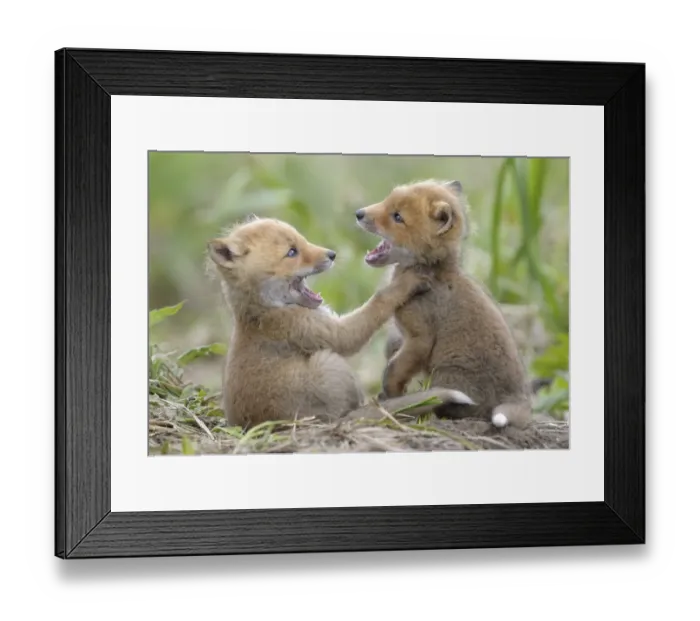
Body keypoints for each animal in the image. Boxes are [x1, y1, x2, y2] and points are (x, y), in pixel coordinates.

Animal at [207, 216, 474, 428]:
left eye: (302, 241)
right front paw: (405, 284)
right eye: (292, 252)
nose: (332, 254)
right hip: (328, 363)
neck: (263, 311)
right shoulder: (324, 332)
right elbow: (377, 304)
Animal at [355, 179, 533, 429]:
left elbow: (395, 370)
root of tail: (519, 399)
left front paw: (391, 397)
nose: (359, 213)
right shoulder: (403, 336)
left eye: (398, 216)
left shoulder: (420, 338)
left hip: (444, 375)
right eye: (387, 200)